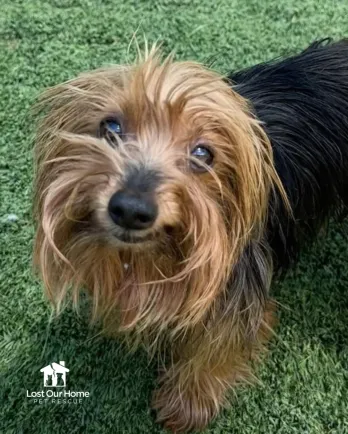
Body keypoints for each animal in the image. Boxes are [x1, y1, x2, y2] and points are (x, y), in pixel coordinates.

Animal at [32, 39, 348, 432]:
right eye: (111, 128)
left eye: (202, 153)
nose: (131, 209)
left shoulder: (237, 297)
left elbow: (215, 347)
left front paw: (188, 404)